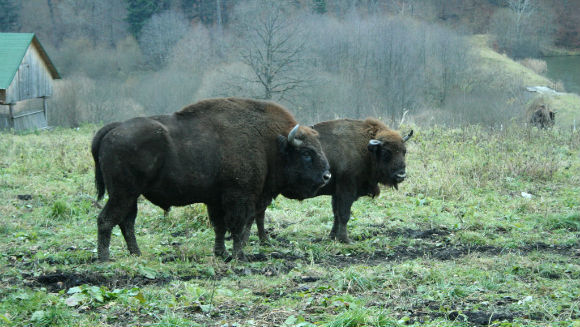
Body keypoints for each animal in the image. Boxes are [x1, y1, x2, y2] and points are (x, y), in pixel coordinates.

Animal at [89, 97, 326, 262]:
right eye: (306, 153)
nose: (327, 175)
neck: (271, 144)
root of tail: (115, 128)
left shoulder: (216, 200)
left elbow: (220, 227)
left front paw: (221, 253)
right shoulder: (240, 197)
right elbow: (238, 226)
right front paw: (239, 256)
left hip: (130, 195)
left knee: (126, 222)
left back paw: (136, 254)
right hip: (123, 193)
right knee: (106, 220)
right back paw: (105, 259)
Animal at [254, 118, 412, 243]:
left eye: (404, 151)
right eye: (386, 152)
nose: (401, 175)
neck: (365, 149)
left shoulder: (336, 194)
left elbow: (336, 214)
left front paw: (332, 236)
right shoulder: (346, 191)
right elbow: (344, 215)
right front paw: (345, 240)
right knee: (260, 213)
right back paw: (265, 240)